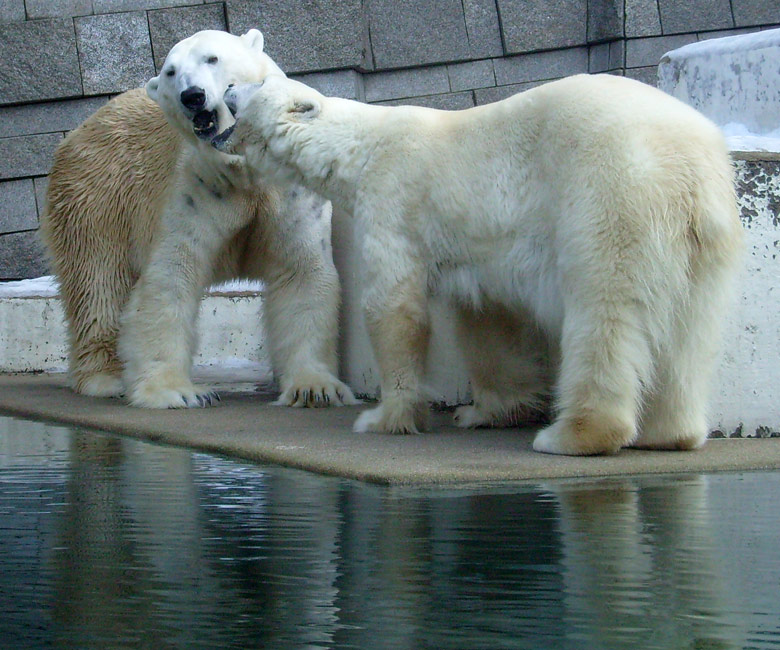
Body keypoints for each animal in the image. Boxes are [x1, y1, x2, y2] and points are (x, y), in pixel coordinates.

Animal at [44, 30, 354, 408]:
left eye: (212, 58)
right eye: (171, 72)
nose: (192, 96)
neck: (244, 171)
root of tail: (76, 133)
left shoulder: (289, 190)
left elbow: (303, 273)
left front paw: (315, 388)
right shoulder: (198, 187)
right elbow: (171, 276)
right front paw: (177, 392)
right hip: (97, 195)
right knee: (97, 281)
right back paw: (105, 378)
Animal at [212, 73, 744, 454]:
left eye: (258, 83)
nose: (227, 89)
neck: (357, 149)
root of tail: (686, 161)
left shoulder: (393, 198)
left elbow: (394, 308)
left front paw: (385, 418)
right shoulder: (482, 247)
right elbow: (492, 317)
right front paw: (486, 412)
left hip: (609, 193)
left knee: (604, 311)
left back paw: (573, 436)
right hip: (707, 232)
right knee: (690, 331)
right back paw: (670, 433)